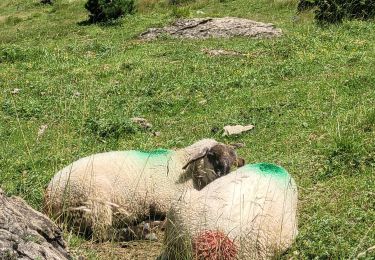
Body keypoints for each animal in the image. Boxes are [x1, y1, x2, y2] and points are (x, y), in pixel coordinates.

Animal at [44, 139, 245, 241]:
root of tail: (50, 198)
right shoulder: (165, 202)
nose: (224, 173)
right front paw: (155, 223)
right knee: (102, 233)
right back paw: (142, 231)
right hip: (96, 197)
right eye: (211, 155)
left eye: (232, 159)